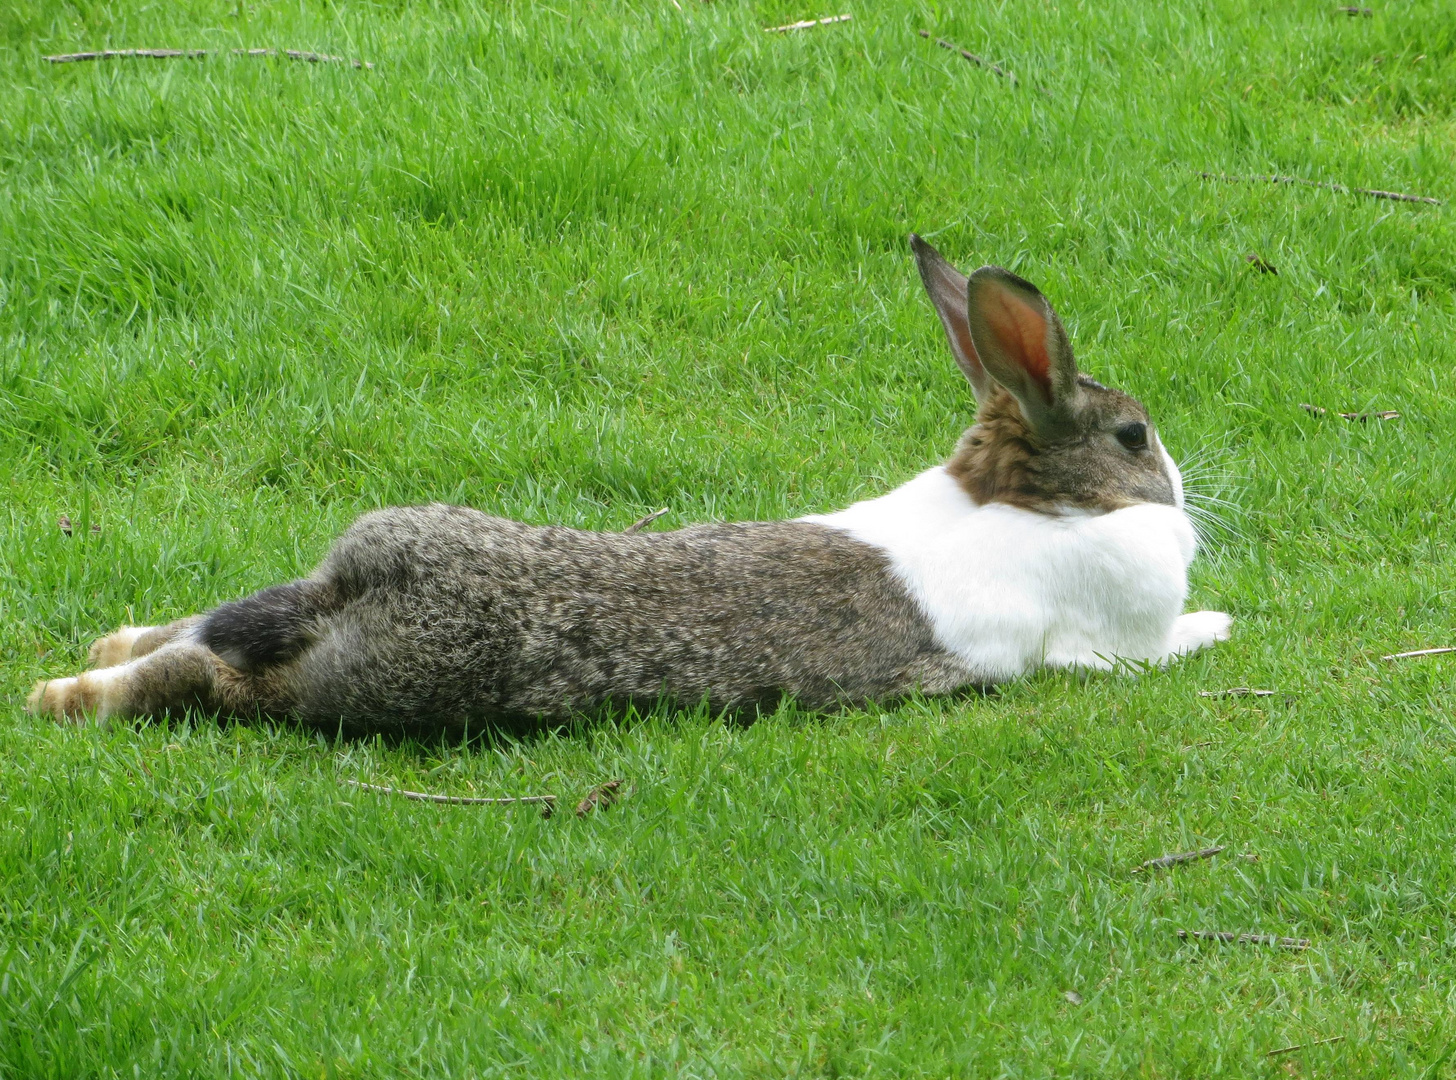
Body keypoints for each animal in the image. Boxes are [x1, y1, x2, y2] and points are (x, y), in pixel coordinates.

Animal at [25, 232, 1228, 730]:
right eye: (1133, 437)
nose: (1180, 490)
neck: (1034, 498)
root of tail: (362, 589)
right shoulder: (1112, 640)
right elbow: (1171, 640)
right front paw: (1220, 624)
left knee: (193, 634)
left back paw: (89, 659)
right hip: (348, 688)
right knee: (197, 682)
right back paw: (64, 701)